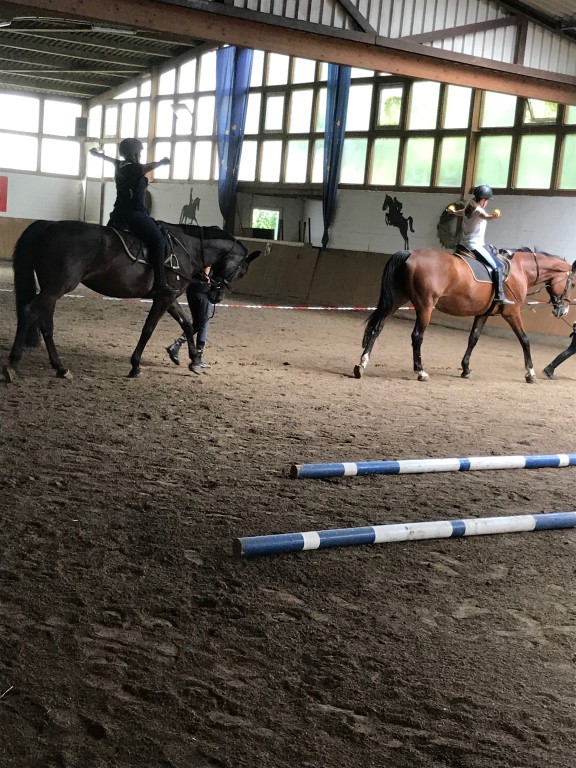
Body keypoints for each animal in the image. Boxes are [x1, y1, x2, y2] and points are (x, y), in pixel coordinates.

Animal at [3, 220, 260, 382]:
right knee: (29, 311)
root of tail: (46, 226)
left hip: (53, 288)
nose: (216, 295)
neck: (187, 249)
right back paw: (12, 365)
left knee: (46, 323)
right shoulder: (164, 298)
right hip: (58, 287)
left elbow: (187, 324)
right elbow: (148, 330)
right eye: (242, 271)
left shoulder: (168, 298)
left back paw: (60, 367)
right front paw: (136, 365)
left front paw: (193, 360)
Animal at [353, 247, 576, 383]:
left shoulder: (483, 314)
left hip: (397, 300)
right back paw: (421, 371)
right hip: (425, 306)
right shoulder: (512, 313)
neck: (519, 270)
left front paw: (466, 369)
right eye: (572, 283)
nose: (562, 310)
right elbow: (525, 340)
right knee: (417, 336)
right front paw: (530, 373)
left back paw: (361, 365)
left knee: (377, 328)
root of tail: (409, 253)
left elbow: (473, 339)